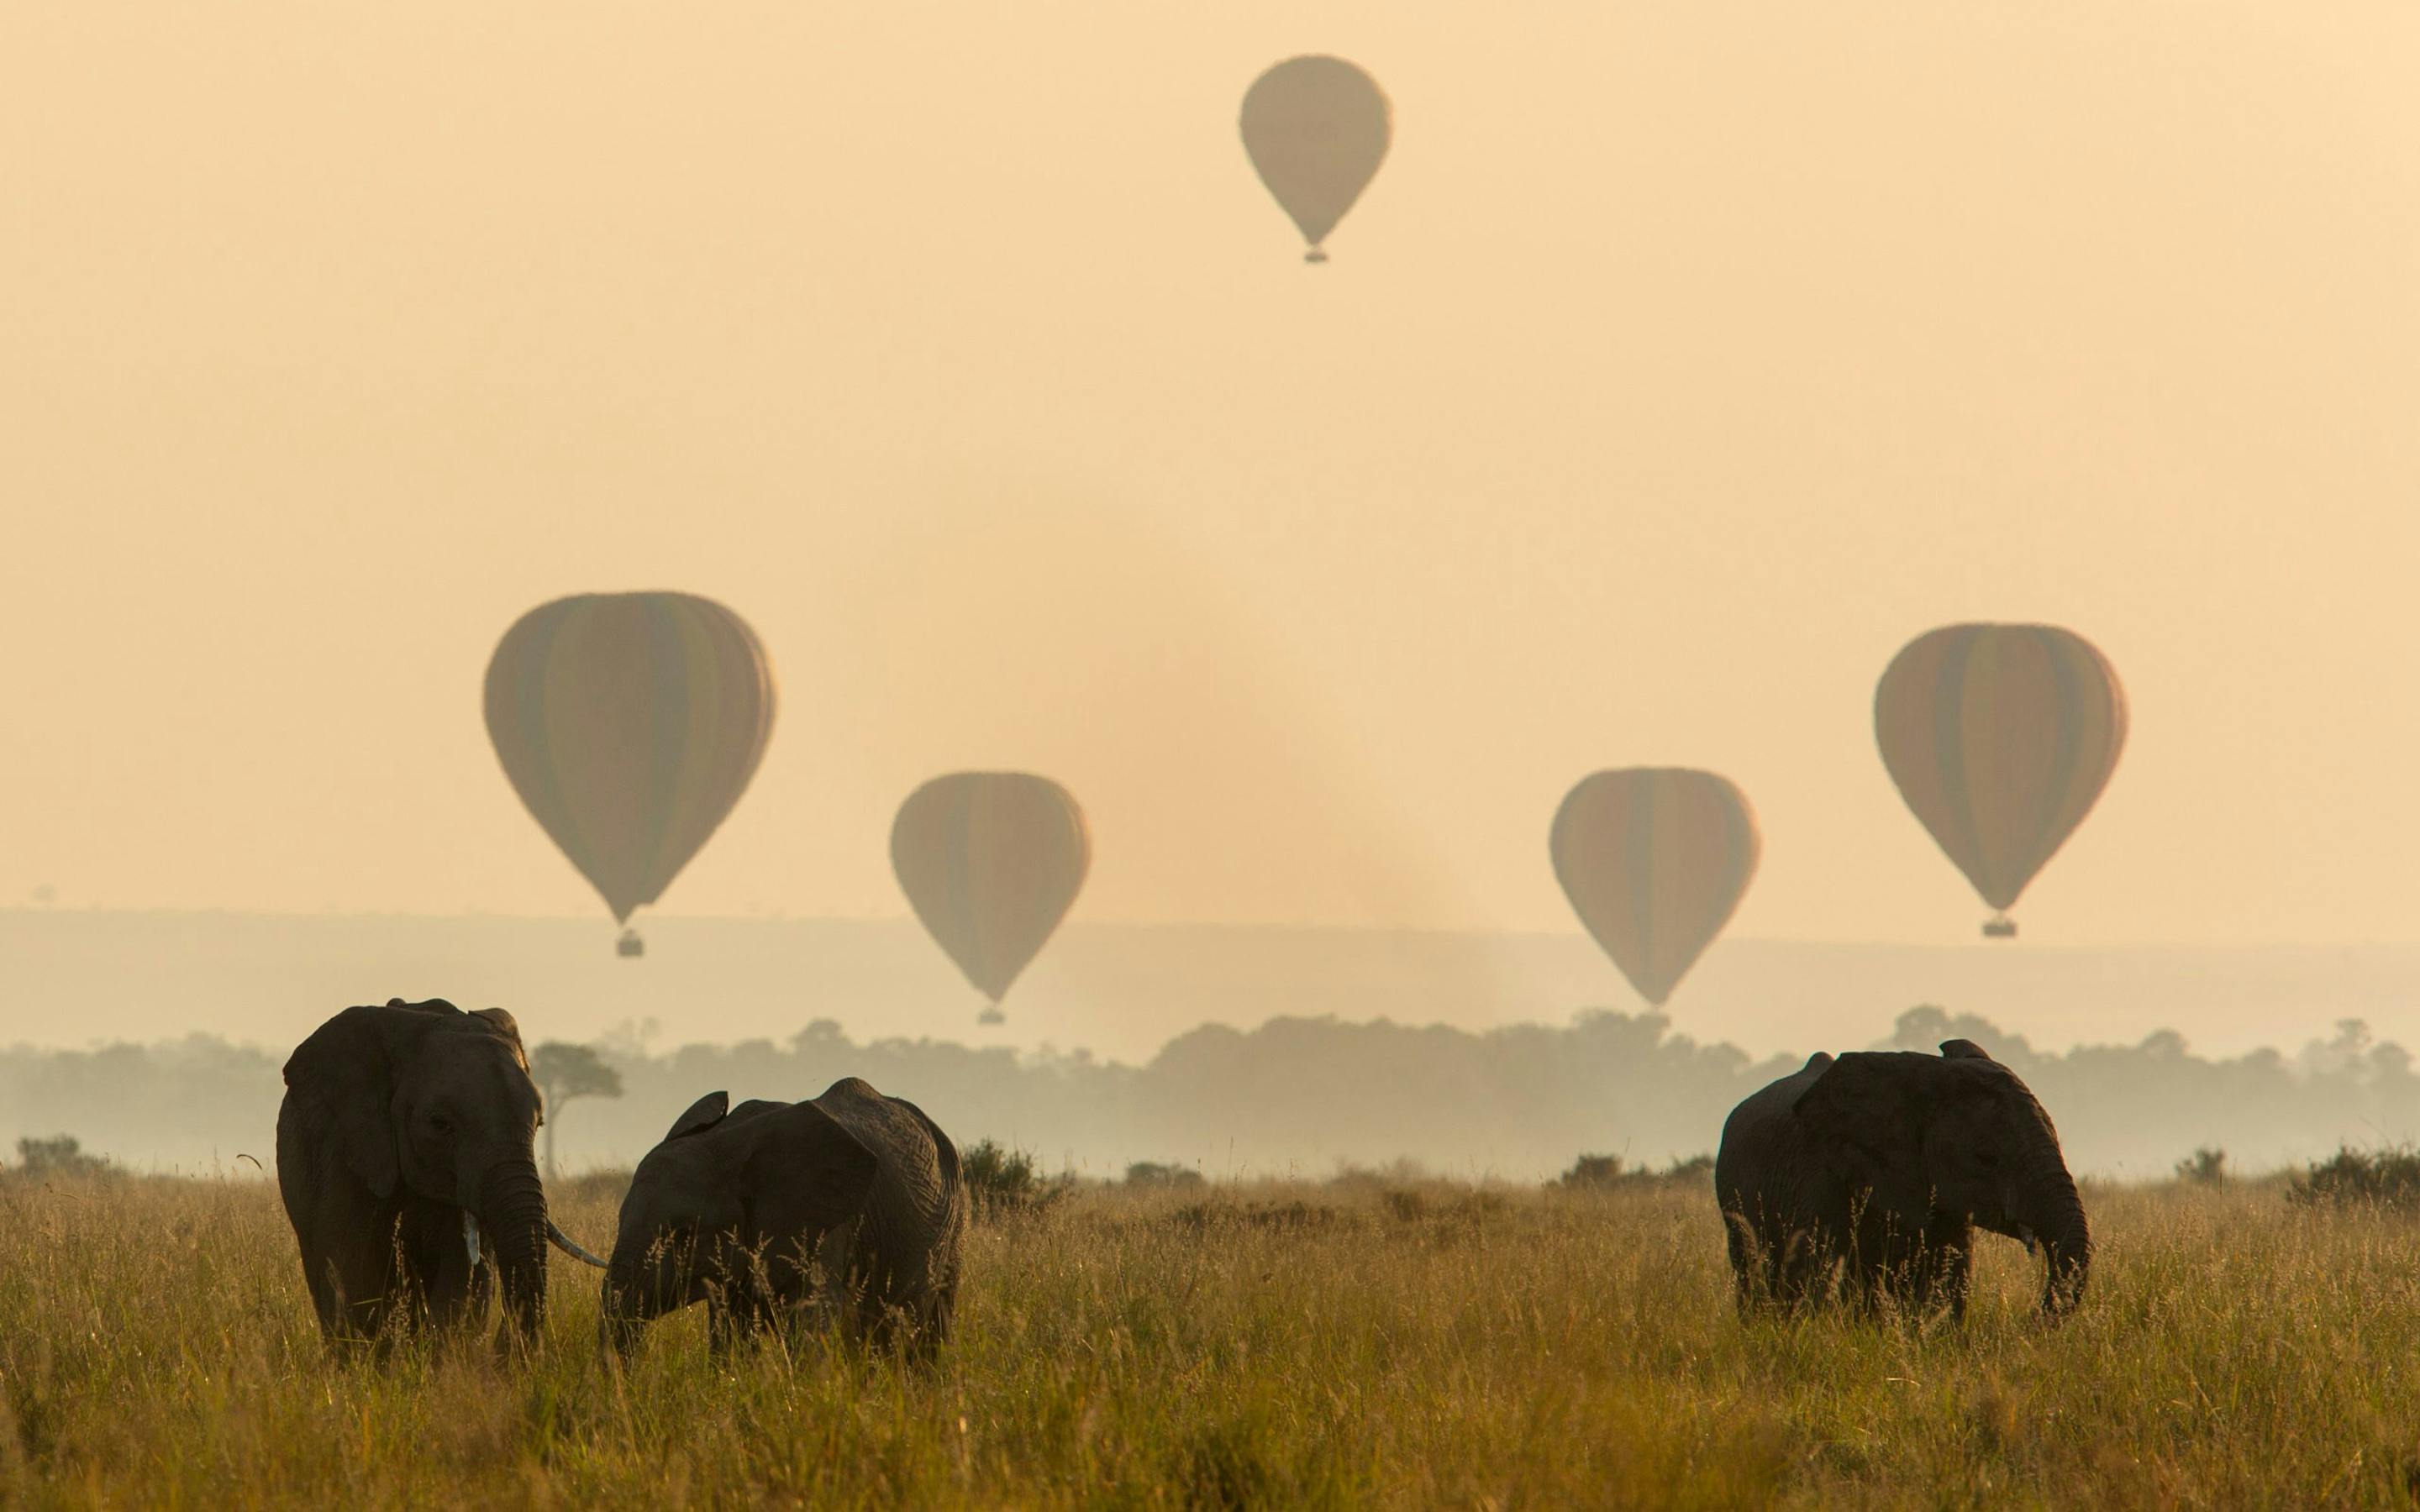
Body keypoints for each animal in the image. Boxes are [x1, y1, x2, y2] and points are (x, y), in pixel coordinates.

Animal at [602, 1077, 966, 1361]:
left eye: (684, 1234)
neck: (727, 1143)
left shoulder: (822, 1226)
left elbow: (812, 1321)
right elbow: (729, 1333)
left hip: (955, 1223)